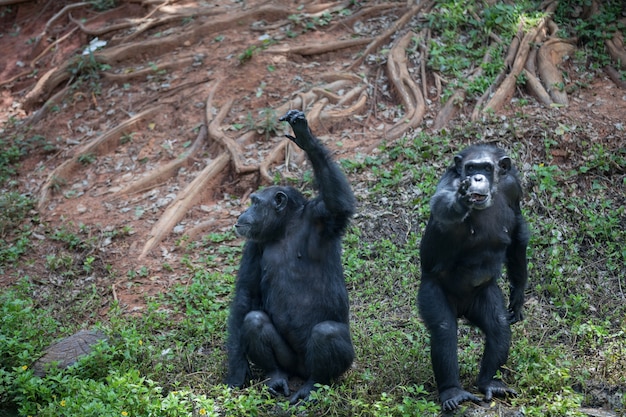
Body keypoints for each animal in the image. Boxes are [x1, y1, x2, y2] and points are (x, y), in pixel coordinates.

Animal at [224, 109, 354, 402]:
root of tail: (300, 371)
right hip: (289, 361)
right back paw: (276, 377)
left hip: (327, 362)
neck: (285, 227)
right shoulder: (253, 246)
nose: (243, 213)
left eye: (255, 203)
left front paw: (306, 139)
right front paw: (237, 371)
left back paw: (313, 385)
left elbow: (339, 205)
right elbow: (246, 296)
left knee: (326, 334)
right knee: (254, 320)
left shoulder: (323, 218)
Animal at [416, 143, 528, 410]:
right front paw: (461, 199)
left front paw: (518, 294)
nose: (477, 177)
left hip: (483, 295)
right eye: (470, 168)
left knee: (499, 328)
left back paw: (490, 383)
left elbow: (517, 232)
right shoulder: (448, 184)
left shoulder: (513, 186)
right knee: (444, 331)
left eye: (486, 168)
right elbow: (443, 206)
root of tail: (462, 309)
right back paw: (453, 392)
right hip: (431, 291)